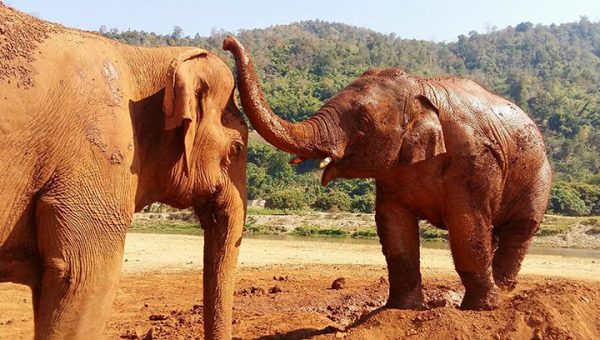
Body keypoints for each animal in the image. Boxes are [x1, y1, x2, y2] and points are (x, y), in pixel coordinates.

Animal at [223, 36, 552, 310]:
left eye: (363, 122)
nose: (227, 41)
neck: (422, 87)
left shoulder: (474, 162)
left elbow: (467, 226)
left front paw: (479, 309)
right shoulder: (392, 174)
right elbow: (394, 226)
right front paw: (401, 308)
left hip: (539, 177)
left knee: (518, 231)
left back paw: (501, 295)